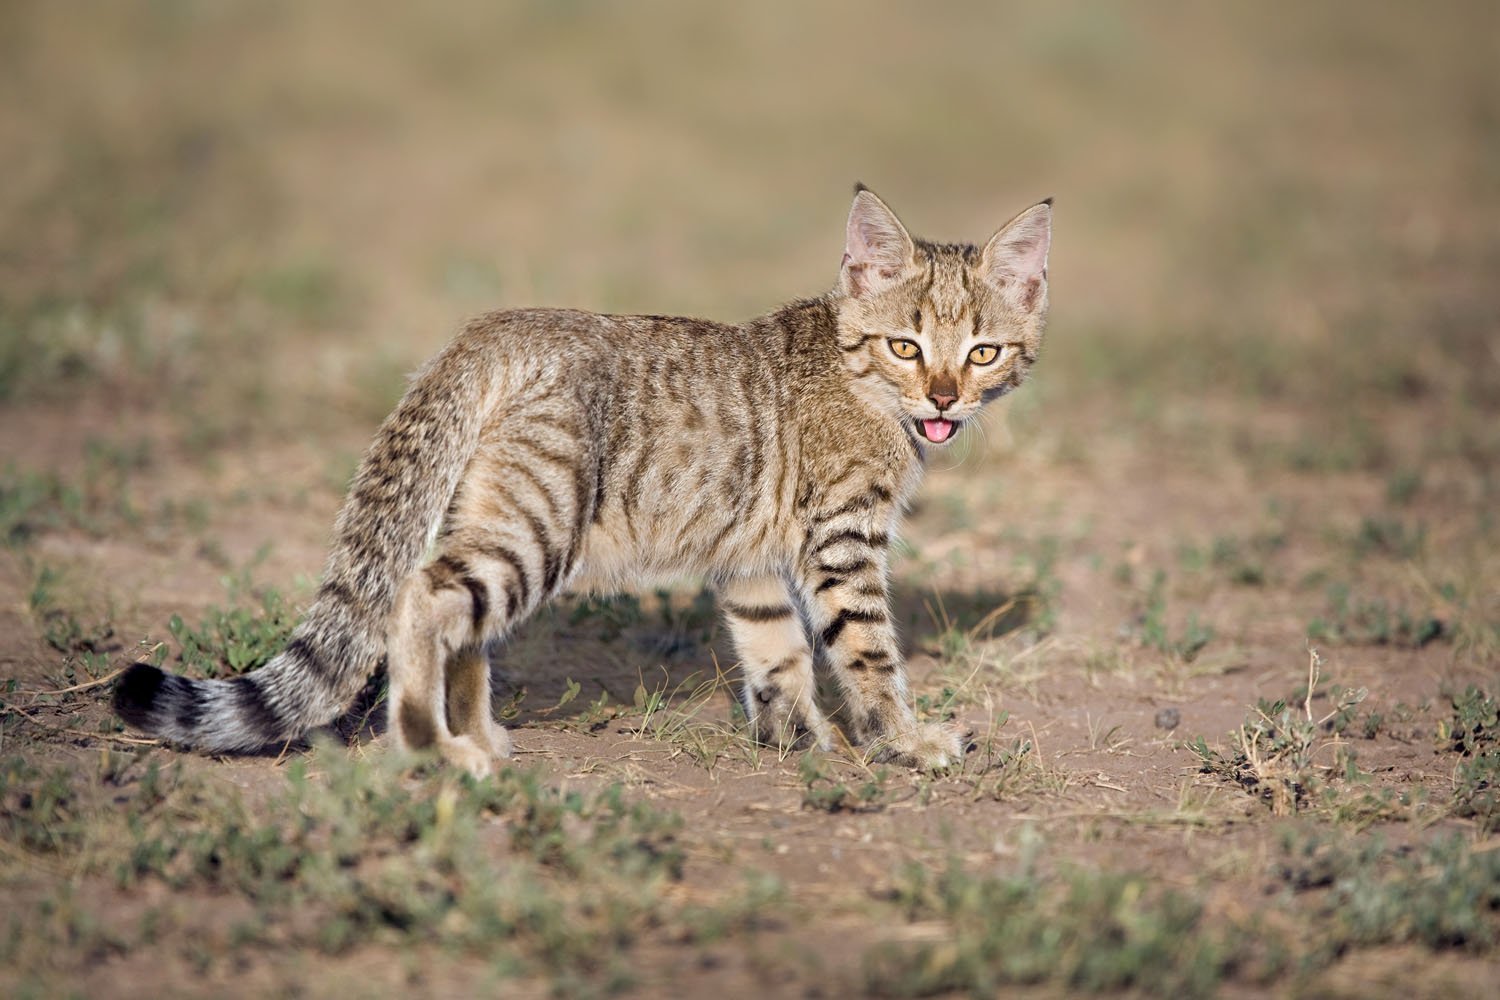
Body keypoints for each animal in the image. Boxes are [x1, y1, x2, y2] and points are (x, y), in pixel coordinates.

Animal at [114, 191, 1056, 779]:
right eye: (906, 346)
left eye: (983, 352)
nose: (944, 397)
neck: (862, 384)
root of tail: (493, 326)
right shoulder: (841, 543)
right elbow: (867, 652)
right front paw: (903, 741)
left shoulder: (751, 561)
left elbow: (777, 654)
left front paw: (797, 739)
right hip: (539, 526)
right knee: (422, 597)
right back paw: (430, 747)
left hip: (493, 513)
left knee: (461, 621)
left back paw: (479, 734)